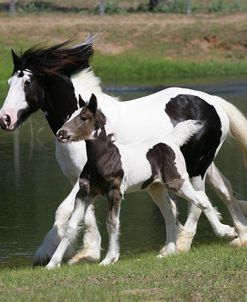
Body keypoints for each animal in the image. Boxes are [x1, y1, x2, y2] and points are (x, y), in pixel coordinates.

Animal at [45, 95, 235, 268]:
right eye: (69, 116)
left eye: (84, 117)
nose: (61, 134)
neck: (104, 157)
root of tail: (170, 141)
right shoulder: (85, 193)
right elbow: (70, 227)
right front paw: (52, 264)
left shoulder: (114, 192)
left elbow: (112, 223)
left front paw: (109, 259)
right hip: (156, 189)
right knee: (169, 214)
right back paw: (168, 251)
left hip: (177, 182)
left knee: (201, 200)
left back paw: (228, 232)